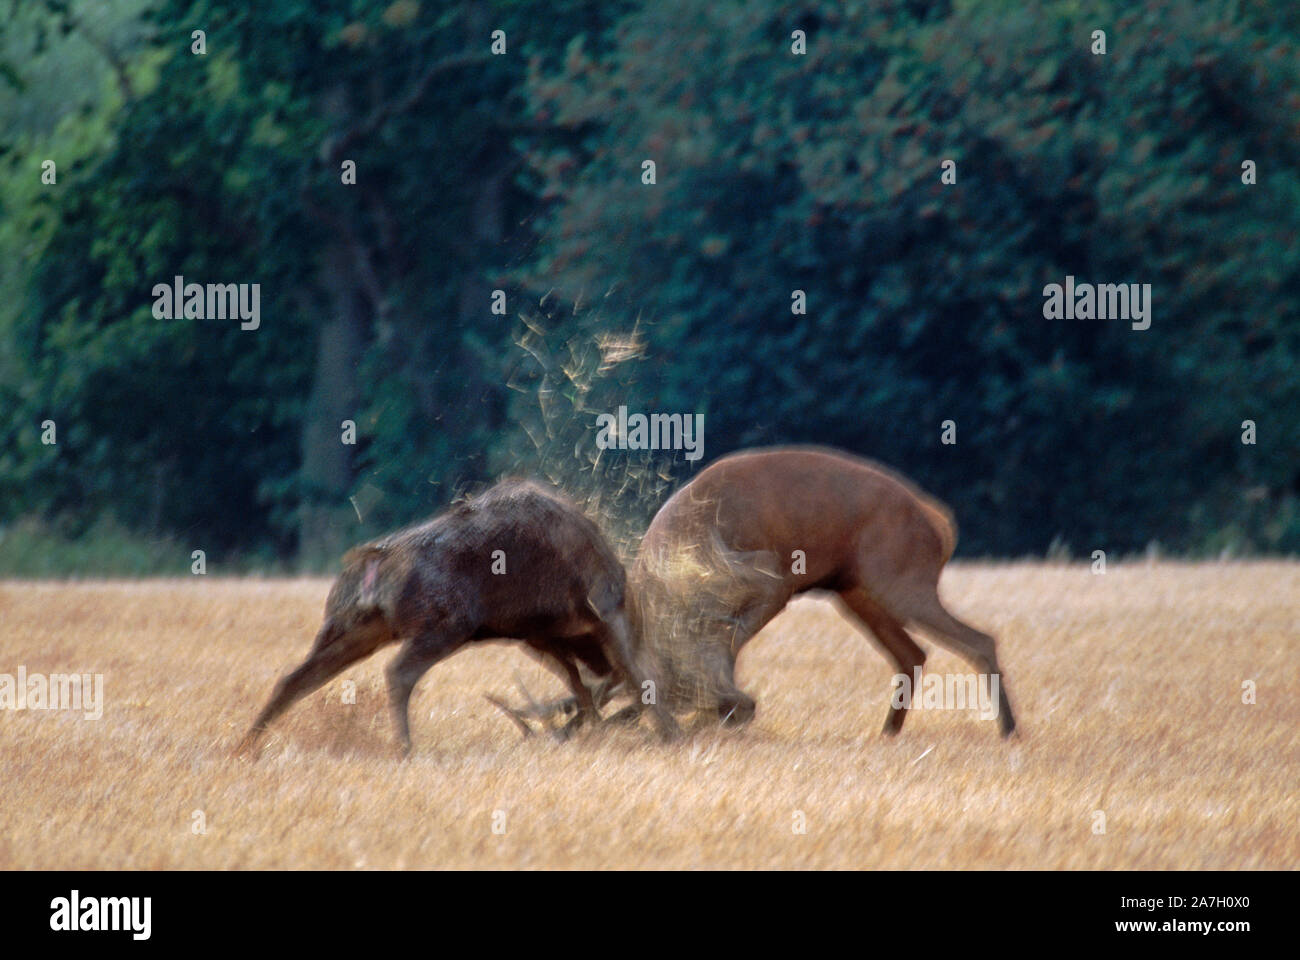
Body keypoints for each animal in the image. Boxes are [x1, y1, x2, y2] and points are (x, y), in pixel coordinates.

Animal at [236, 476, 681, 749]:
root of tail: (375, 564)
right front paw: (670, 733)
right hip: (444, 623)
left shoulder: (539, 634)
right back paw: (404, 748)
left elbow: (581, 686)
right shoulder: (601, 609)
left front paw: (593, 730)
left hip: (351, 626)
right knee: (397, 673)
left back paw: (244, 747)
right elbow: (634, 676)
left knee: (294, 678)